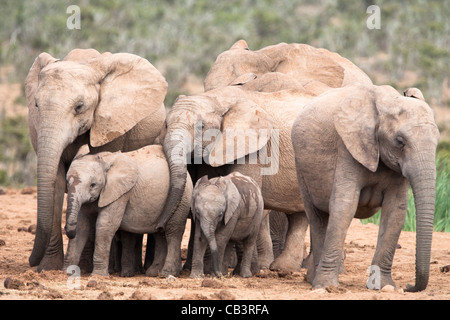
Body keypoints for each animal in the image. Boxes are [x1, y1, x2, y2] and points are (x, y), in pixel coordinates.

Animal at [26, 48, 168, 272]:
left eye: (79, 106)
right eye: (36, 105)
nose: (31, 262)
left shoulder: (111, 123)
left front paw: (83, 268)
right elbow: (55, 181)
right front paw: (48, 268)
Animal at [62, 145, 192, 278]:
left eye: (93, 185)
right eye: (67, 182)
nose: (66, 230)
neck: (104, 160)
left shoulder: (120, 193)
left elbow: (105, 225)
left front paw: (98, 275)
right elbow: (82, 226)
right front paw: (68, 272)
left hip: (183, 199)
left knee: (173, 232)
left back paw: (167, 273)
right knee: (159, 234)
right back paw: (154, 272)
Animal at [158, 40, 372, 272]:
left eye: (201, 127)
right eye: (166, 125)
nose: (159, 226)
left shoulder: (257, 146)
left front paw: (248, 269)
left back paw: (288, 269)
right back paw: (283, 267)